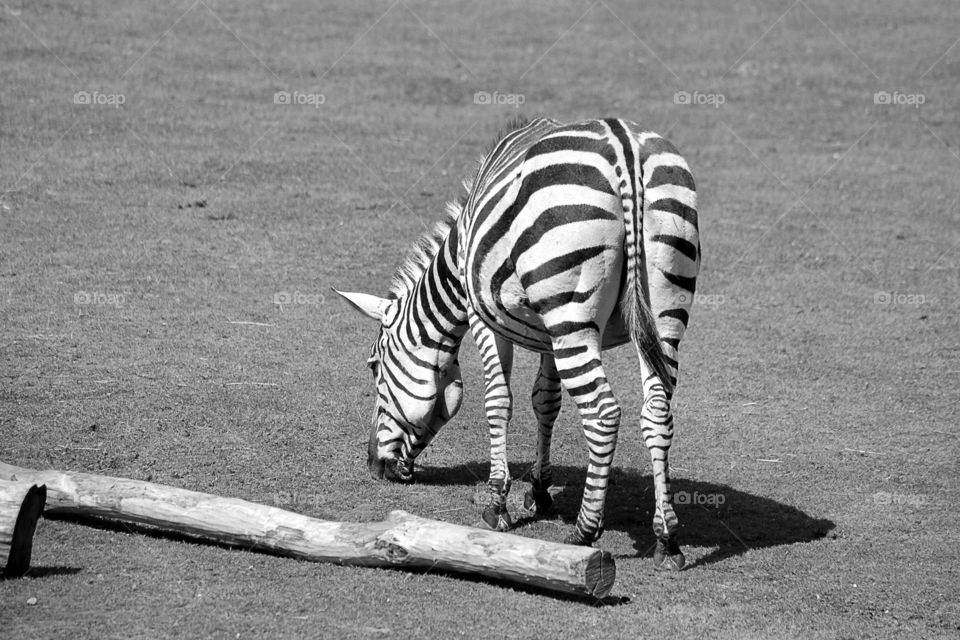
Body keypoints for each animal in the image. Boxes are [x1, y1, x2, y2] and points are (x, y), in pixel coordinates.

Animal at [335, 117, 699, 570]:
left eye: (373, 367)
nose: (374, 465)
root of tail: (624, 147)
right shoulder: (547, 333)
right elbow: (546, 400)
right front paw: (540, 491)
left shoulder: (483, 315)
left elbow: (497, 401)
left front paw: (497, 501)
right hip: (661, 313)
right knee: (657, 413)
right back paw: (667, 539)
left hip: (572, 314)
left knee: (602, 412)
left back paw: (585, 531)